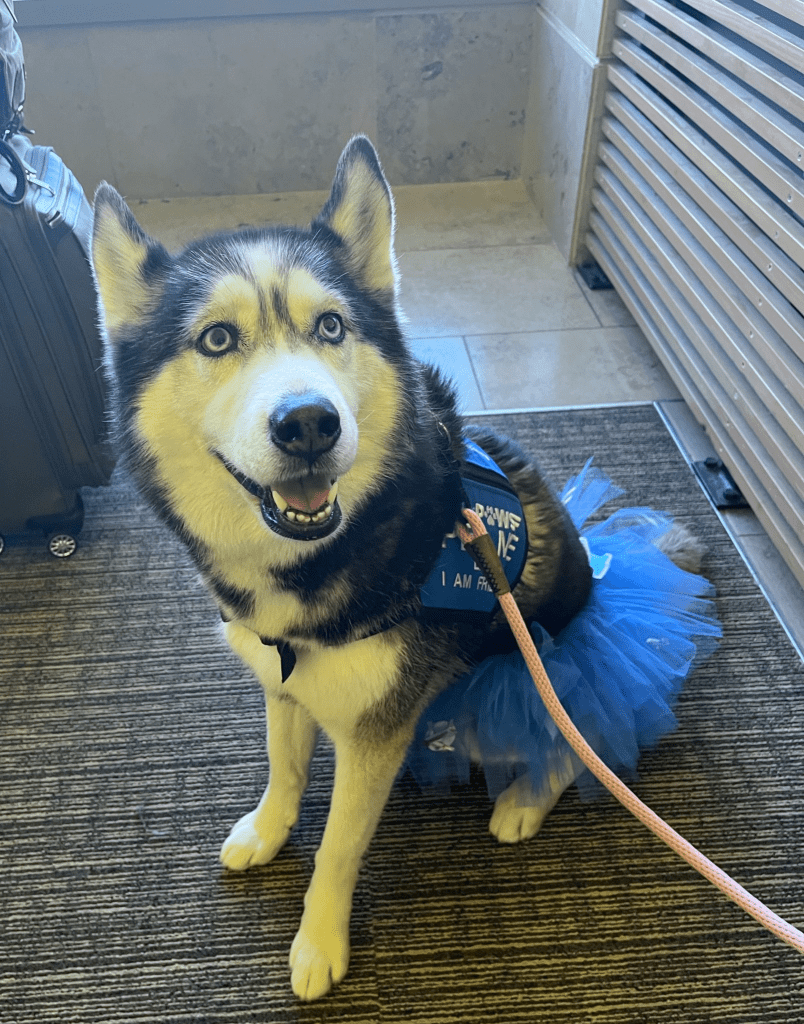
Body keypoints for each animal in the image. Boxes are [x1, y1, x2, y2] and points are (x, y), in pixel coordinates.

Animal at [89, 136, 659, 999]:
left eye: (330, 325)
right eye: (217, 340)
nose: (308, 422)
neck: (319, 560)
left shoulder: (375, 736)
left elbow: (337, 846)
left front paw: (319, 943)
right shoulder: (282, 678)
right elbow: (284, 767)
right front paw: (267, 830)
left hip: (526, 674)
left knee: (576, 735)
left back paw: (525, 802)